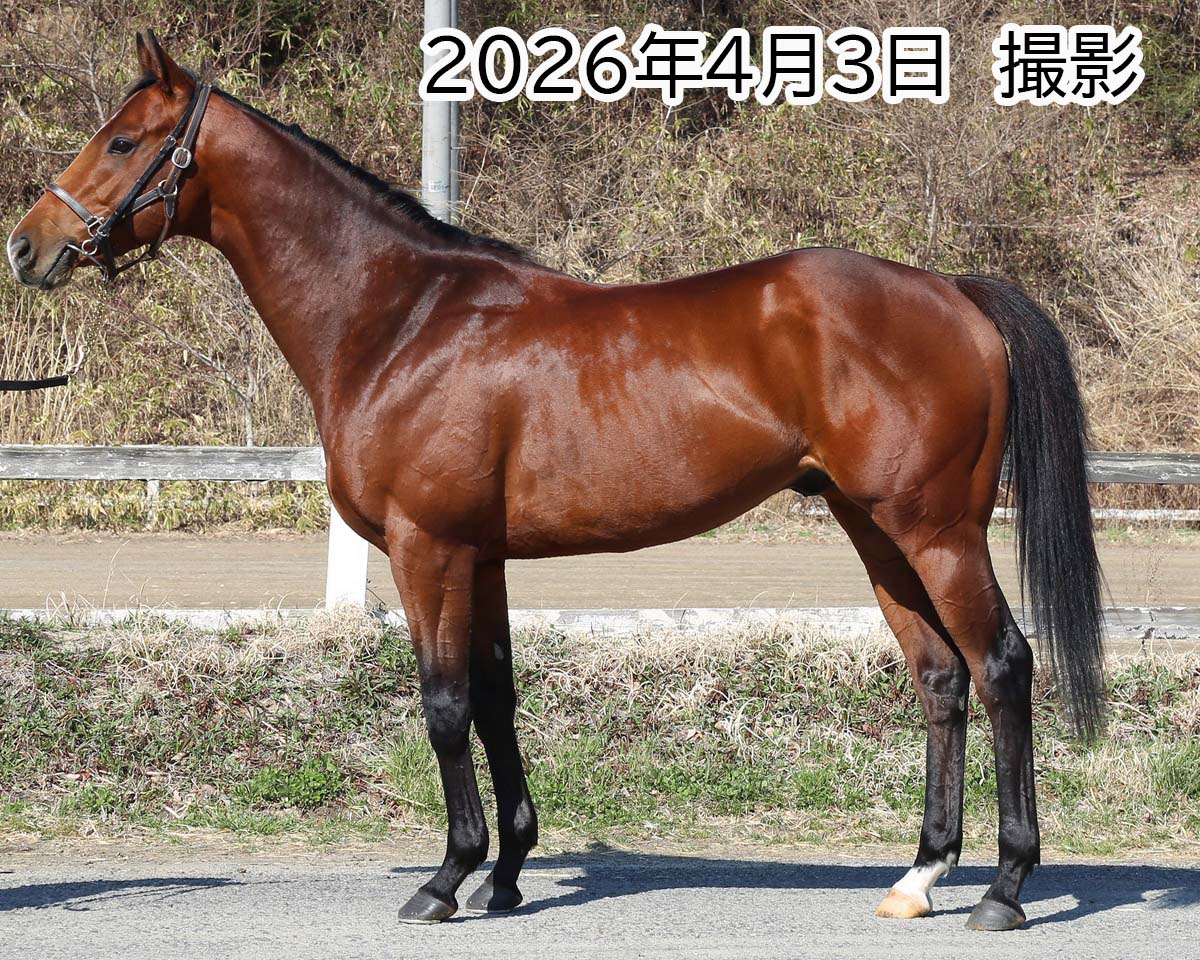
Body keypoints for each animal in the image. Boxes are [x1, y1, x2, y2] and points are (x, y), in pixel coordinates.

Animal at [8, 31, 1104, 931]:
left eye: (122, 141)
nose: (28, 246)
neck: (399, 318)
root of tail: (951, 289)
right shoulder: (482, 555)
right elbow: (496, 696)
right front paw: (506, 872)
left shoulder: (427, 547)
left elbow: (444, 702)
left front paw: (445, 878)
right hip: (874, 529)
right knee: (940, 679)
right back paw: (919, 878)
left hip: (937, 529)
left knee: (1002, 665)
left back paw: (1005, 888)